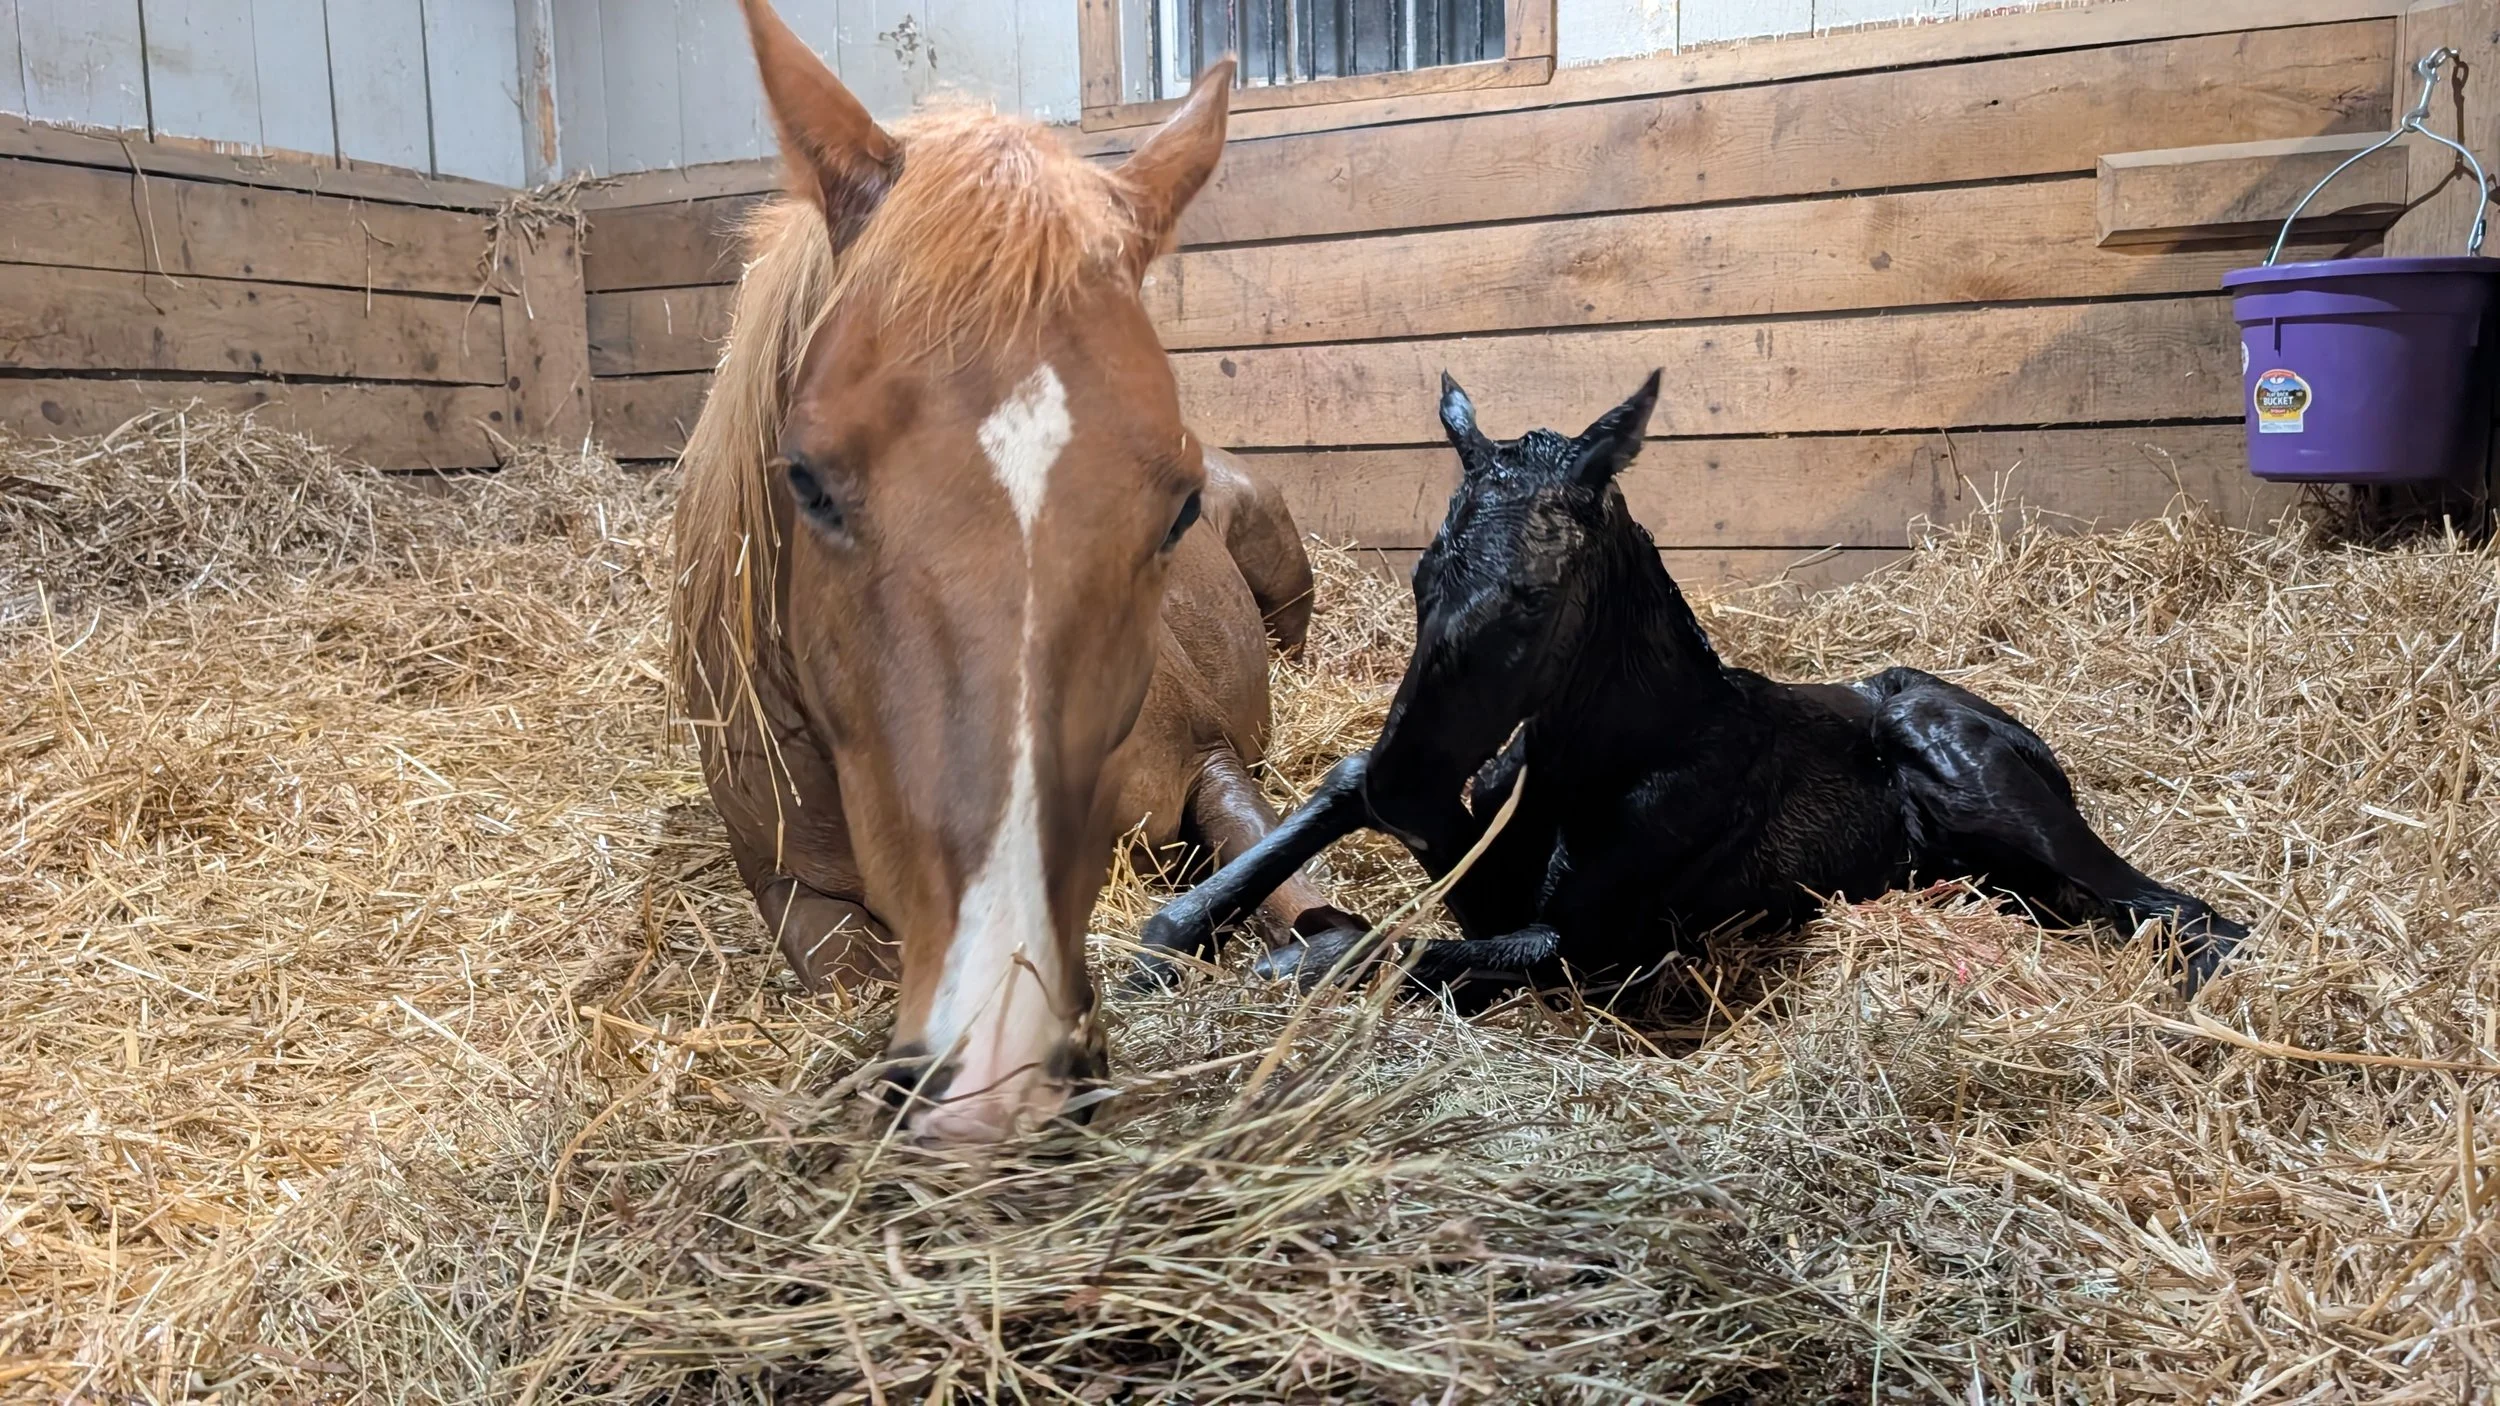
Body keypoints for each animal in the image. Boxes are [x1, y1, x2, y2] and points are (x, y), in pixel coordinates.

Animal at [676, 0, 1364, 1142]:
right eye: (805, 479)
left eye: (1176, 505)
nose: (1003, 1063)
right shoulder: (789, 891)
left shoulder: (1206, 762)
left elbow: (1290, 887)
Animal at [1132, 371, 2249, 999]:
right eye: (1419, 576)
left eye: (1535, 594)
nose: (1410, 779)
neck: (1612, 755)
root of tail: (2029, 743)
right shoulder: (1477, 849)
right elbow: (1335, 797)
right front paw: (1168, 939)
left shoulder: (1597, 948)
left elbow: (1411, 950)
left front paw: (1286, 957)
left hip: (1986, 787)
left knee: (2187, 911)